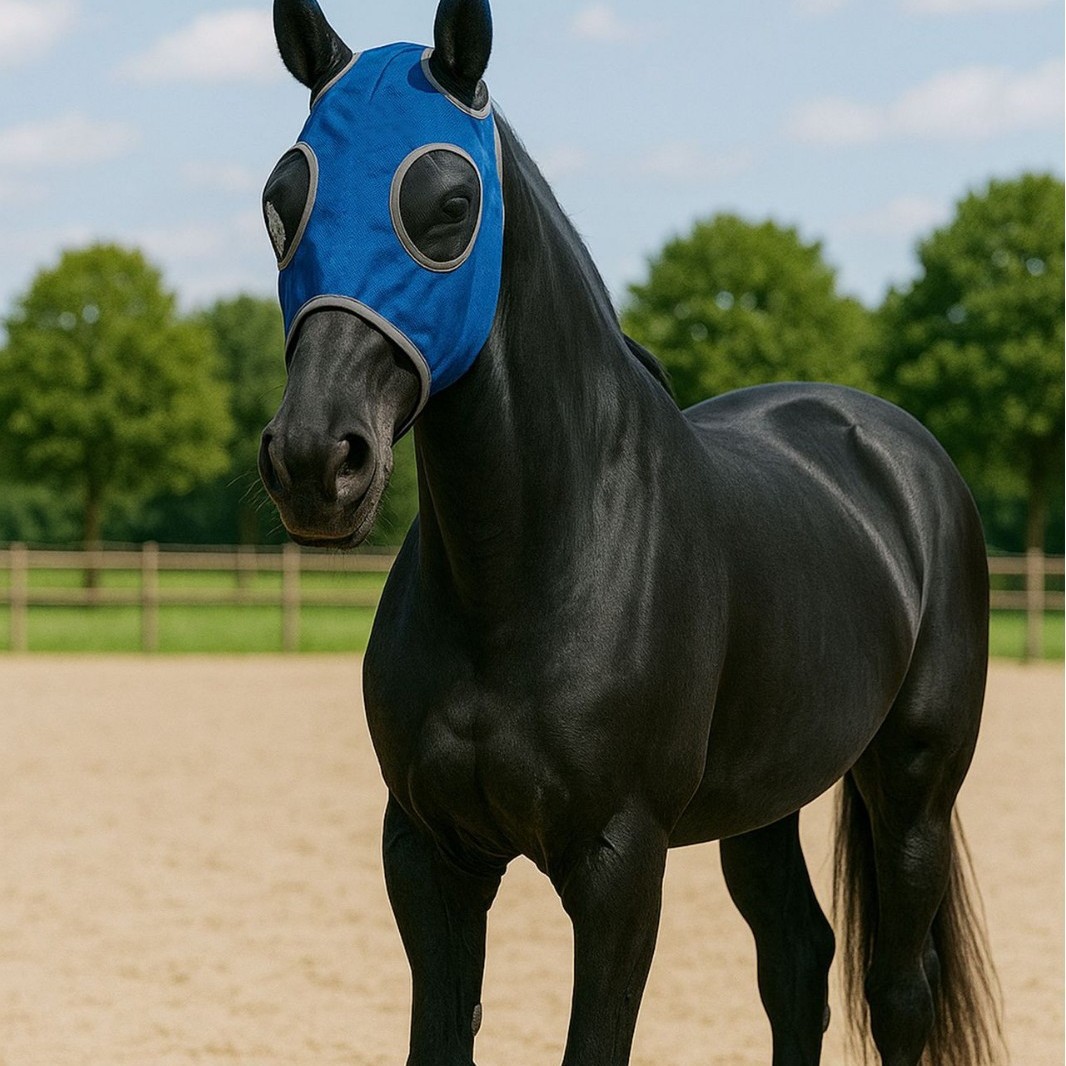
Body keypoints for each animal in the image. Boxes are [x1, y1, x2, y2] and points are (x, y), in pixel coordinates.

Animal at [257, 2, 1003, 1063]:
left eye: (450, 203)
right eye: (281, 199)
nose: (317, 461)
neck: (527, 569)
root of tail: (898, 450)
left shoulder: (619, 866)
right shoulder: (429, 856)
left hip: (914, 792)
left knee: (897, 990)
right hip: (764, 802)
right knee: (798, 963)